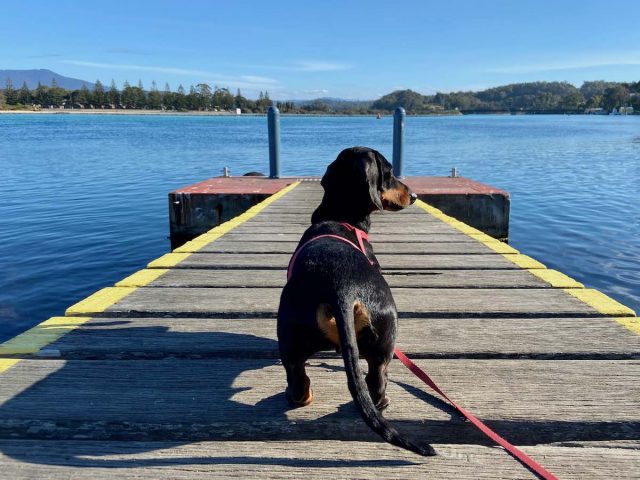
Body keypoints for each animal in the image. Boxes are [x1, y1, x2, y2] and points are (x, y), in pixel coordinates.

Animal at [276, 147, 436, 458]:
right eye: (388, 172)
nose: (414, 196)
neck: (340, 217)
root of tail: (341, 287)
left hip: (289, 335)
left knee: (298, 378)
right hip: (386, 339)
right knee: (377, 379)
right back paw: (381, 403)